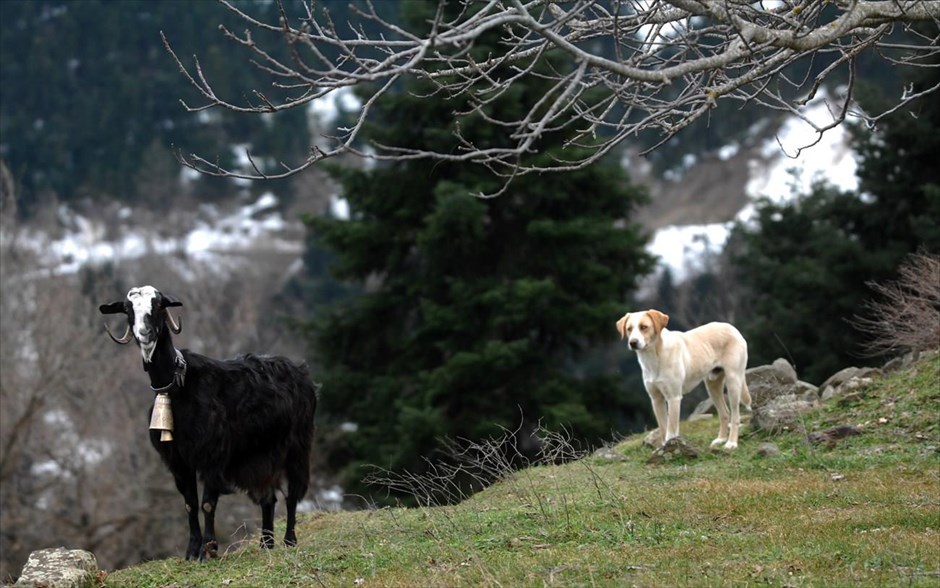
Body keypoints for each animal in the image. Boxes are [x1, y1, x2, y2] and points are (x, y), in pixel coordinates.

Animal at [100, 284, 320, 560]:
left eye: (159, 305)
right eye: (128, 310)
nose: (145, 333)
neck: (178, 385)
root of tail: (303, 372)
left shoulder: (212, 456)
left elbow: (207, 503)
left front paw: (209, 549)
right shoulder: (178, 461)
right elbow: (189, 504)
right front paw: (191, 552)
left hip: (297, 446)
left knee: (292, 494)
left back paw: (289, 541)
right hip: (261, 457)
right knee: (268, 497)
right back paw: (265, 544)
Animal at [616, 308, 748, 450]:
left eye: (644, 327)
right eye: (629, 329)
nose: (633, 342)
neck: (654, 356)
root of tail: (732, 328)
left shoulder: (673, 398)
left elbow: (671, 430)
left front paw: (671, 447)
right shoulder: (656, 399)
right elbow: (663, 428)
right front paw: (663, 448)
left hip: (733, 382)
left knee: (735, 415)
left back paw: (731, 443)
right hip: (712, 386)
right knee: (725, 413)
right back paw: (721, 439)